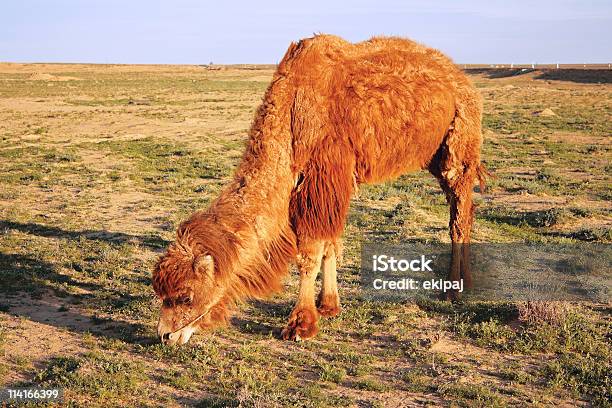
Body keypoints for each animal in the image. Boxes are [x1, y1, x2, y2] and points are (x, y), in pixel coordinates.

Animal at [154, 34, 488, 344]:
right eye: (160, 293)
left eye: (185, 296)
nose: (166, 335)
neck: (291, 115)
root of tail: (461, 78)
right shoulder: (327, 184)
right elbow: (329, 244)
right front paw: (328, 305)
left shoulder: (323, 176)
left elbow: (310, 253)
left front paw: (301, 324)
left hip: (459, 144)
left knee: (459, 216)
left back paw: (454, 290)